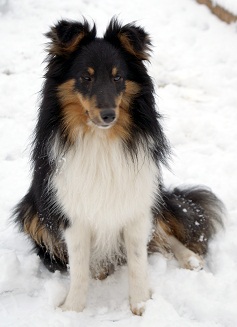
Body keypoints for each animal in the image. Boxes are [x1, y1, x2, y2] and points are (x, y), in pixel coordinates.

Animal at [12, 18, 224, 316]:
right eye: (86, 77)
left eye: (117, 77)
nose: (108, 115)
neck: (101, 140)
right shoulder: (73, 212)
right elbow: (78, 267)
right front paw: (72, 310)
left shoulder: (136, 202)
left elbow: (138, 259)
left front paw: (142, 305)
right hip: (30, 212)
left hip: (153, 194)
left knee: (164, 231)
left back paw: (191, 258)